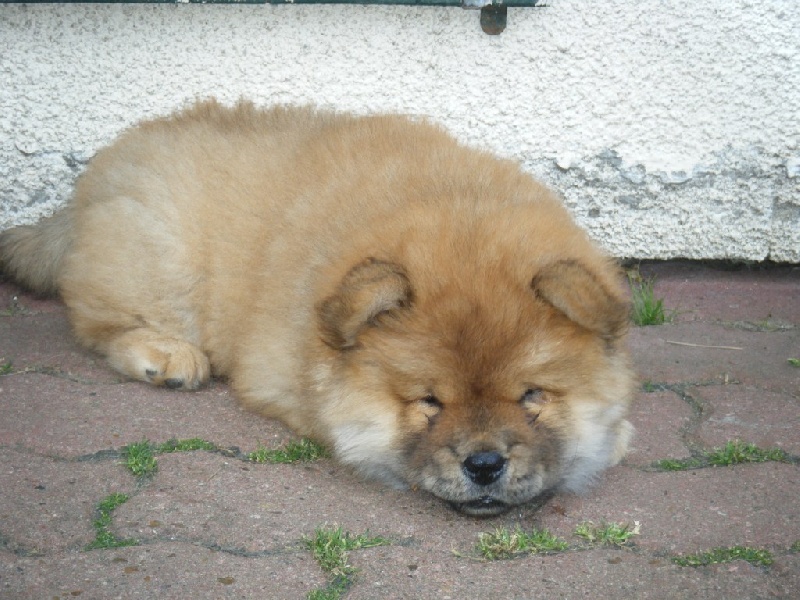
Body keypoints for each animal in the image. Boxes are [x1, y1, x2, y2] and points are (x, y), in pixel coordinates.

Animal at [3, 99, 636, 516]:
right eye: (428, 401)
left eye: (533, 396)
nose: (484, 464)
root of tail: (101, 171)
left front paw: (615, 435)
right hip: (158, 257)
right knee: (101, 324)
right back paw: (168, 356)